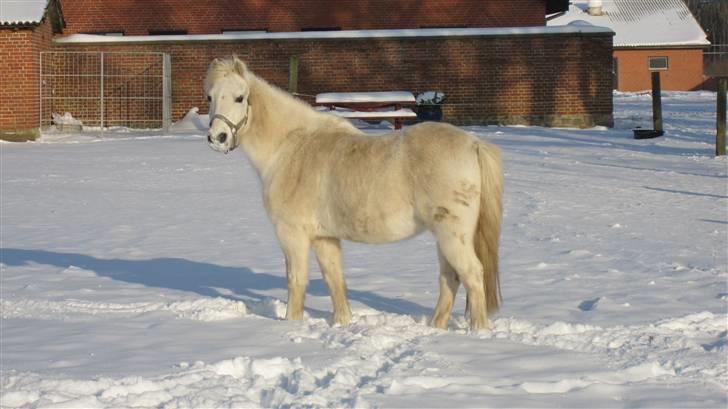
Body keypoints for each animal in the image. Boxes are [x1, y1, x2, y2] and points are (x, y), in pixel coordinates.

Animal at [202, 55, 504, 328]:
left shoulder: (293, 236)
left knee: (473, 275)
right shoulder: (324, 238)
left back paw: (478, 330)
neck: (291, 147)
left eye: (240, 97)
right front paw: (342, 323)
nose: (218, 138)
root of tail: (473, 144)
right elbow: (335, 280)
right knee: (449, 279)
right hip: (445, 237)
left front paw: (291, 324)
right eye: (210, 97)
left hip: (452, 235)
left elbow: (296, 281)